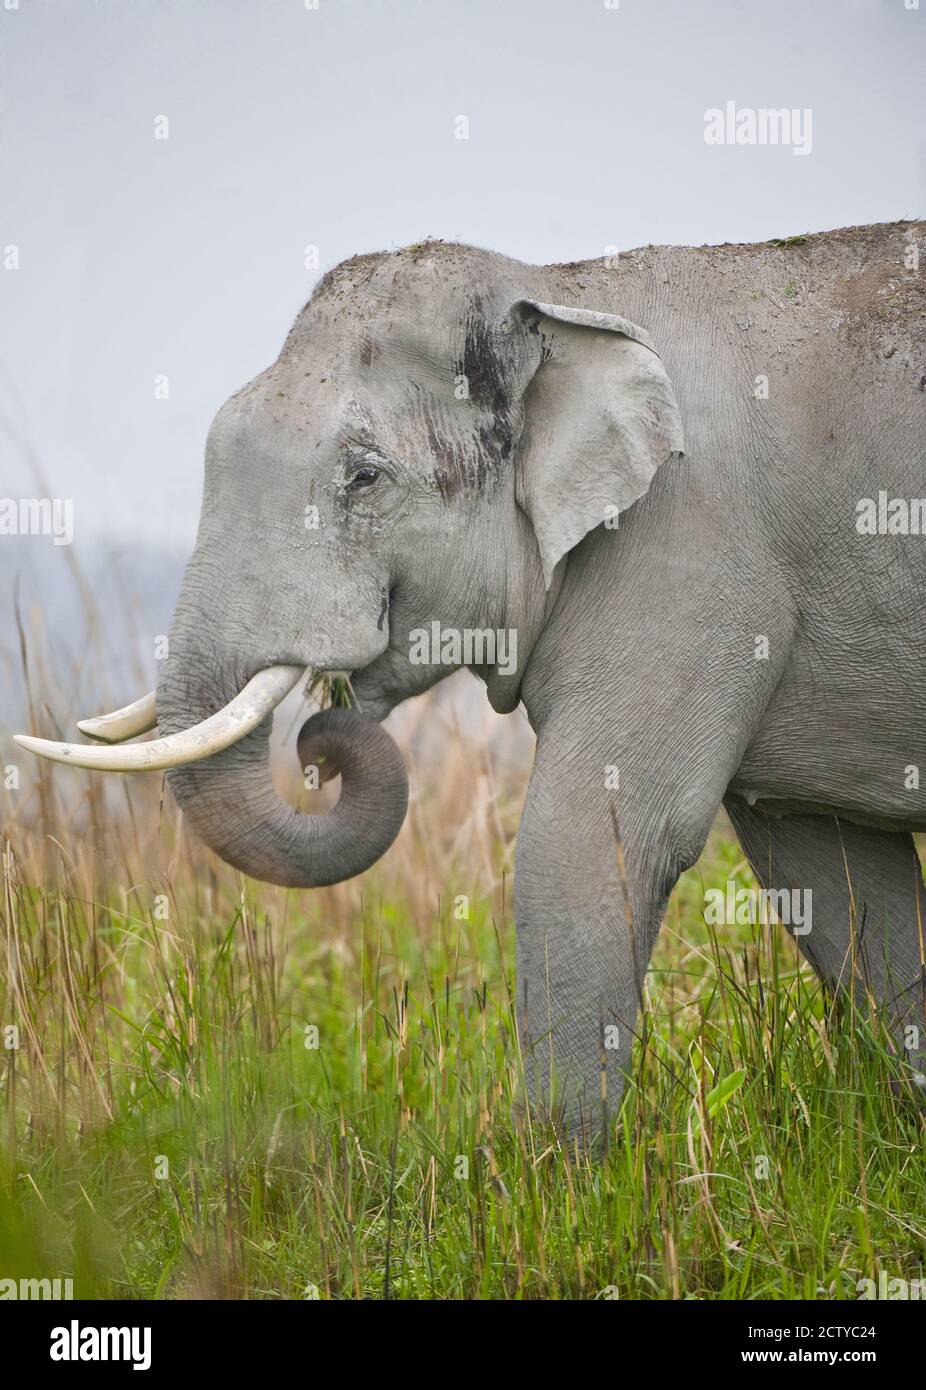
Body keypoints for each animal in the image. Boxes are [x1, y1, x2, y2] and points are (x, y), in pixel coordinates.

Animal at [18, 222, 923, 1139]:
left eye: (364, 477)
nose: (320, 740)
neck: (561, 293)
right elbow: (829, 874)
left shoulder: (690, 557)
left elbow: (587, 840)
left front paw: (555, 1174)